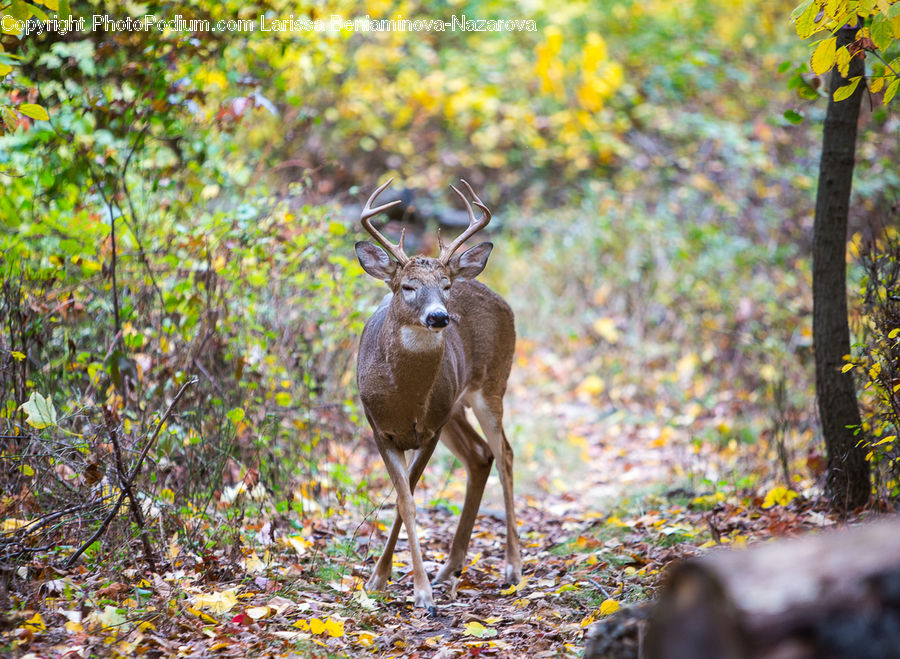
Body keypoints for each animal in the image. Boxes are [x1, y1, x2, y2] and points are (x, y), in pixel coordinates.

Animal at [354, 178, 522, 615]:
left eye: (445, 287)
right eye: (407, 286)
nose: (440, 316)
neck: (402, 397)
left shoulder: (428, 431)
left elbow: (407, 498)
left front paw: (420, 593)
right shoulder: (380, 430)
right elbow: (405, 500)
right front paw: (379, 580)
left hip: (490, 385)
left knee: (504, 453)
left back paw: (513, 567)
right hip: (455, 408)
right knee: (480, 455)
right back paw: (450, 568)